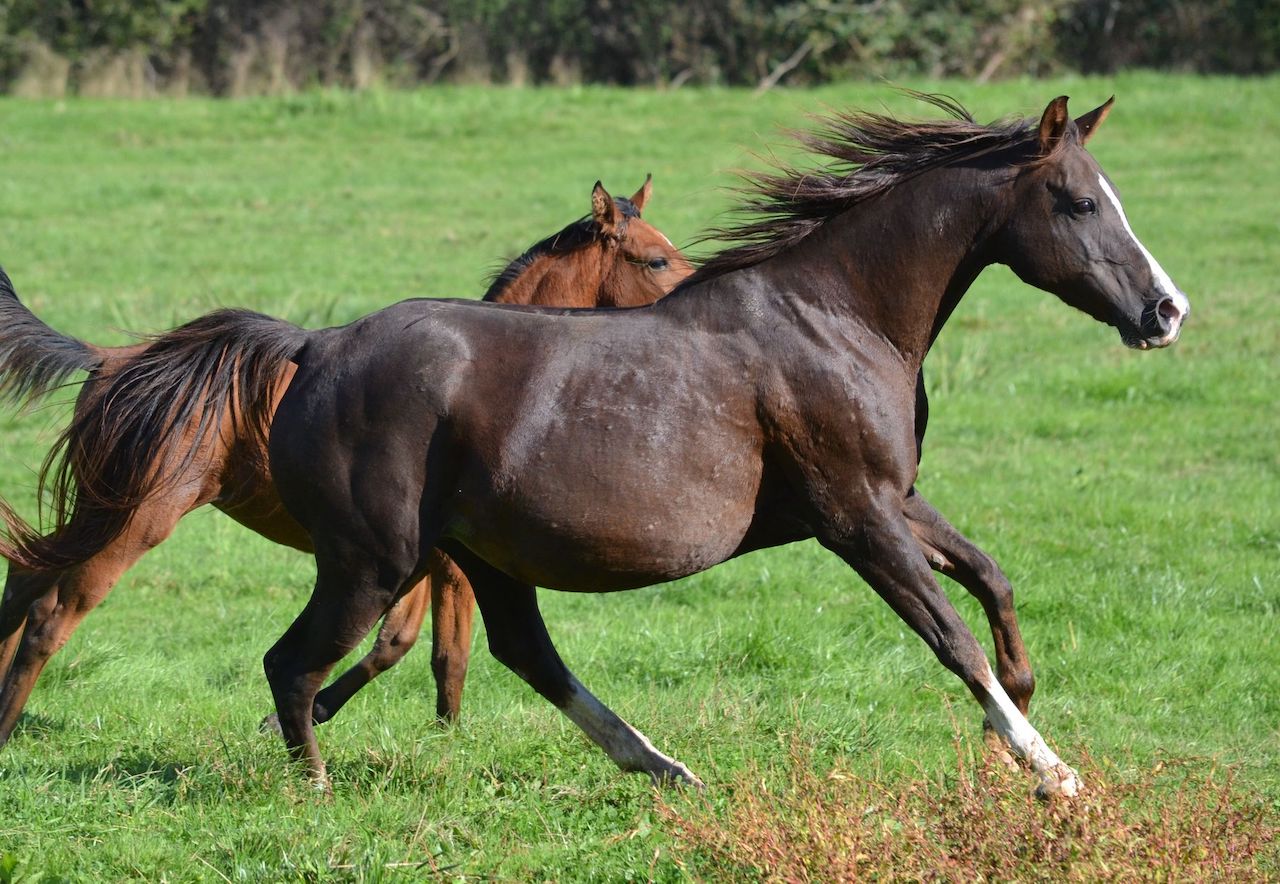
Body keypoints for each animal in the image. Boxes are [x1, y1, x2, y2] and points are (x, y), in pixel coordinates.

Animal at [0, 177, 691, 747]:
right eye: (656, 259)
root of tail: (109, 361)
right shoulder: (447, 566)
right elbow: (428, 650)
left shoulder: (423, 564)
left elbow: (412, 646)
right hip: (137, 520)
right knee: (50, 614)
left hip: (98, 509)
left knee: (23, 580)